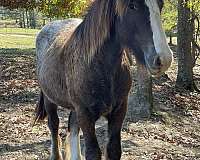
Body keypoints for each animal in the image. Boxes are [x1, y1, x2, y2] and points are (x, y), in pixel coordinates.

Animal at [34, 0, 172, 160]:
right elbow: (93, 152)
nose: (164, 59)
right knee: (54, 125)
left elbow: (113, 150)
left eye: (160, 5)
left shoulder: (118, 112)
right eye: (132, 6)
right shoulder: (85, 114)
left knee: (73, 126)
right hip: (50, 99)